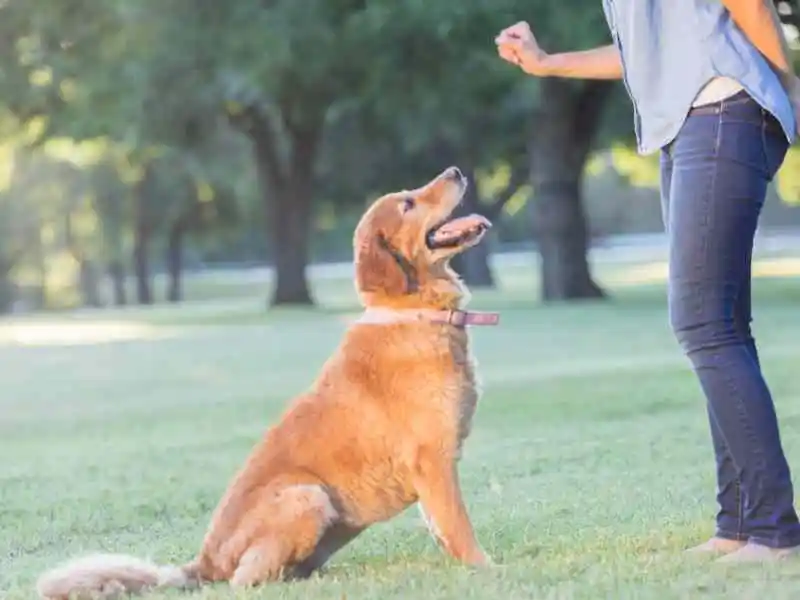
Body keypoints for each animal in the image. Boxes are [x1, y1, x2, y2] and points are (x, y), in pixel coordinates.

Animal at [39, 165, 500, 600]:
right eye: (407, 203)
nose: (456, 171)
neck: (414, 312)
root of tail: (204, 562)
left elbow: (441, 527)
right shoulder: (432, 460)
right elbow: (459, 526)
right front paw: (486, 569)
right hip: (307, 495)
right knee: (245, 580)